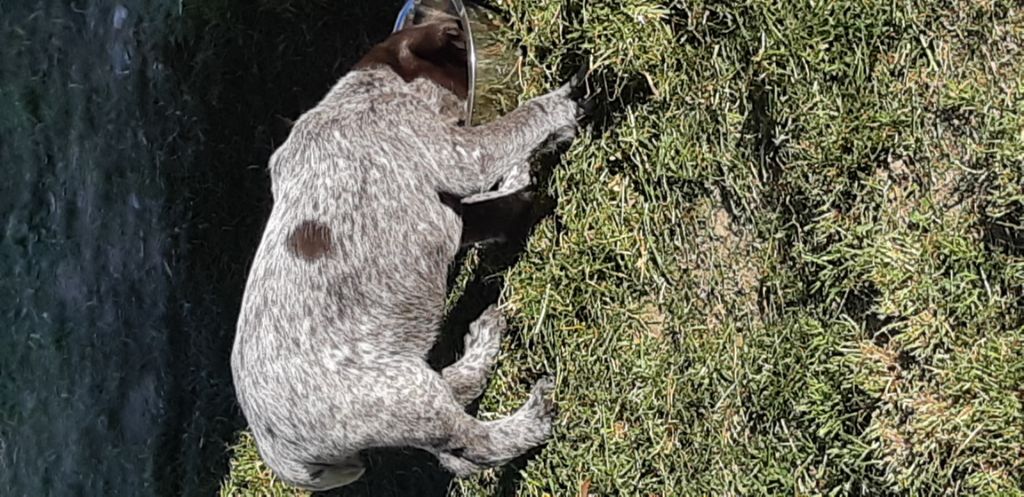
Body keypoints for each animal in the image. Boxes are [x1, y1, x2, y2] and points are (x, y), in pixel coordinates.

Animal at [229, 20, 589, 491]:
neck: (361, 92)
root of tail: (281, 457)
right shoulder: (459, 154)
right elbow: (522, 122)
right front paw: (564, 103)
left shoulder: (453, 206)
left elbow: (494, 210)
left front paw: (520, 188)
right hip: (402, 396)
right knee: (473, 450)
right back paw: (531, 419)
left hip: (405, 386)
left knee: (454, 413)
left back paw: (482, 348)